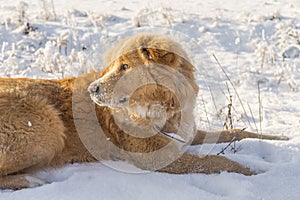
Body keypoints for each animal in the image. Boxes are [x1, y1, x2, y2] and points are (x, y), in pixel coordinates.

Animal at [0, 34, 286, 189]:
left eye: (125, 66)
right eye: (114, 66)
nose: (92, 89)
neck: (162, 108)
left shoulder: (185, 134)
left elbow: (237, 132)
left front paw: (282, 139)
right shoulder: (157, 156)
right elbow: (218, 161)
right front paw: (258, 174)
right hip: (47, 127)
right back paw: (31, 182)